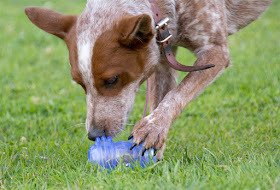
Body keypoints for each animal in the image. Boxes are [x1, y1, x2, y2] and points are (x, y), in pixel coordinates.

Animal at [24, 0, 274, 160]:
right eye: (79, 83)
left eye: (112, 80)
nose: (93, 135)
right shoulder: (162, 56)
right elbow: (160, 101)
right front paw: (154, 154)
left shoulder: (215, 51)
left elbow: (175, 96)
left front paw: (152, 129)